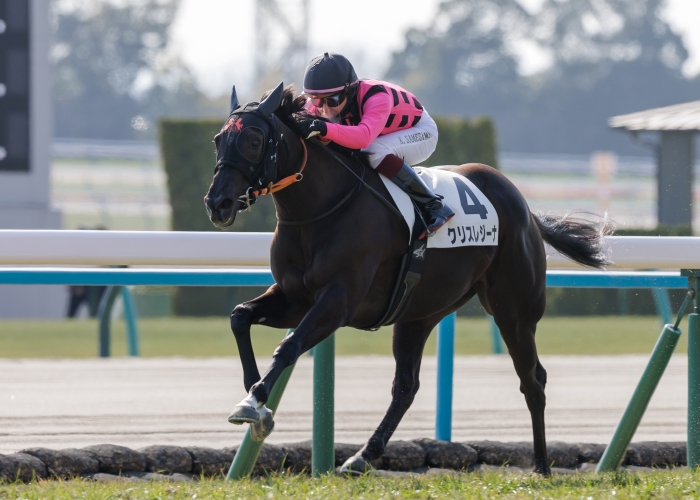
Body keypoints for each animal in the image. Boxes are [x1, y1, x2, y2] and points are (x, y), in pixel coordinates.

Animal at [204, 82, 612, 475]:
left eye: (254, 140)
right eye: (218, 140)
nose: (217, 203)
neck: (320, 208)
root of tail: (525, 208)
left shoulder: (338, 301)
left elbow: (288, 346)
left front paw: (253, 401)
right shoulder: (294, 298)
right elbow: (240, 316)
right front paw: (255, 396)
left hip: (514, 312)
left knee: (533, 380)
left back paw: (542, 466)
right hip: (420, 312)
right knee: (406, 387)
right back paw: (362, 457)